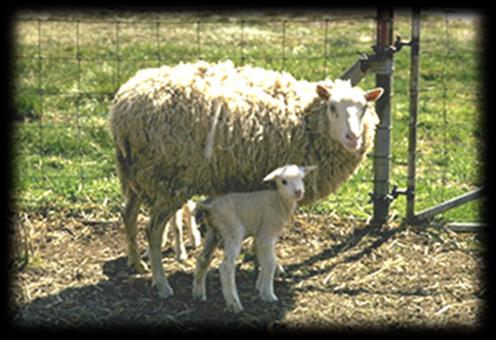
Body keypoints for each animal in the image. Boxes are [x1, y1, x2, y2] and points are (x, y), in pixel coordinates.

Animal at [110, 60, 384, 298]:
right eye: (332, 107)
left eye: (364, 108)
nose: (353, 138)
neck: (304, 117)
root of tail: (123, 105)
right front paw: (269, 264)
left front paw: (258, 257)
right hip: (167, 179)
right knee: (153, 231)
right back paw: (161, 284)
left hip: (137, 175)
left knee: (129, 214)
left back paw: (137, 264)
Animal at [192, 165, 316, 314]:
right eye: (284, 181)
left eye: (302, 178)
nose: (298, 192)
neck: (278, 200)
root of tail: (210, 207)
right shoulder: (267, 232)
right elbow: (270, 262)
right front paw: (268, 294)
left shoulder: (260, 235)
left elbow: (263, 258)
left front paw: (260, 285)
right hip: (233, 229)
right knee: (226, 267)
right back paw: (234, 304)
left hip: (213, 232)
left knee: (202, 259)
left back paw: (198, 294)